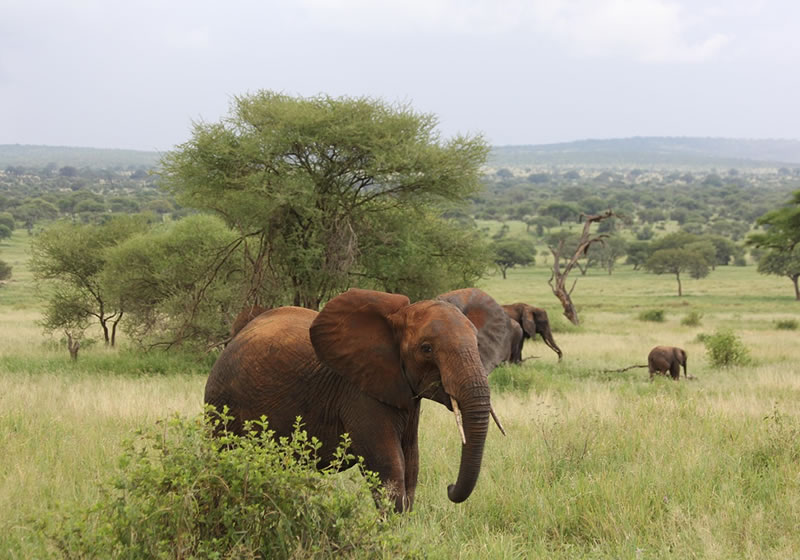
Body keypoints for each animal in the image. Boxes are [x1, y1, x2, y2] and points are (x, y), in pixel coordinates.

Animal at [204, 288, 505, 512]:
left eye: (478, 344)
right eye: (426, 349)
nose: (449, 488)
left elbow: (411, 462)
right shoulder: (358, 393)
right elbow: (388, 466)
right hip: (220, 404)